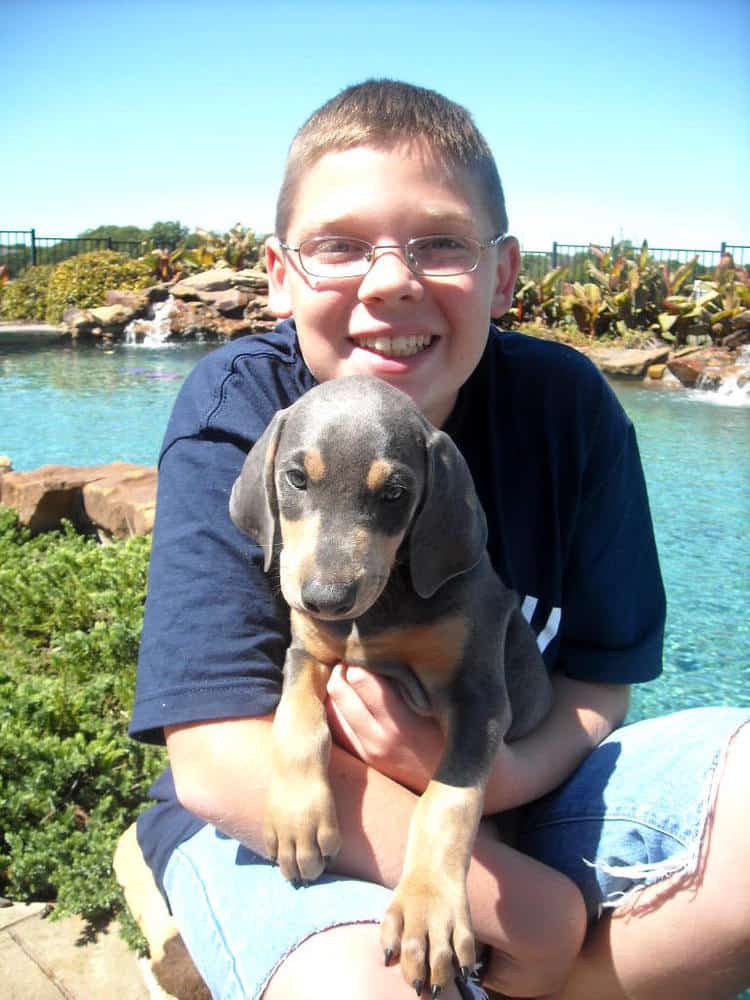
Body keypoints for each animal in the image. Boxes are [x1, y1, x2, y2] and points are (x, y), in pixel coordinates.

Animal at [232, 376, 556, 1000]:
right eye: (296, 478)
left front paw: (428, 913)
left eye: (395, 493)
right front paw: (299, 817)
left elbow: (447, 801)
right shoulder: (307, 653)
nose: (326, 598)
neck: (382, 609)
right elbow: (297, 725)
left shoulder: (480, 695)